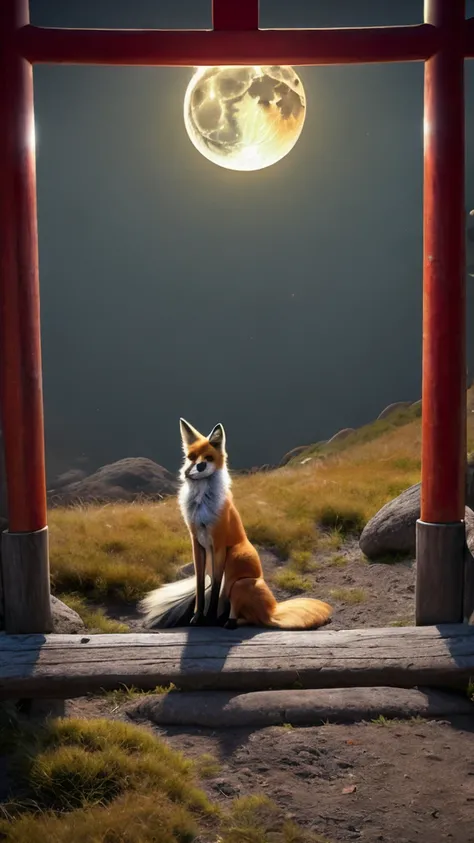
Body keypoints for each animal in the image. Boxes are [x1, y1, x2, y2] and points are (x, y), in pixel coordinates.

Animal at [140, 418, 334, 628]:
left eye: (208, 457)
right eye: (192, 457)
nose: (200, 466)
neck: (202, 505)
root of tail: (272, 609)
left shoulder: (218, 544)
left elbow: (216, 589)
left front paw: (208, 619)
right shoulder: (196, 543)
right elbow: (200, 587)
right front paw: (198, 618)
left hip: (237, 567)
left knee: (241, 614)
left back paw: (225, 621)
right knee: (246, 615)